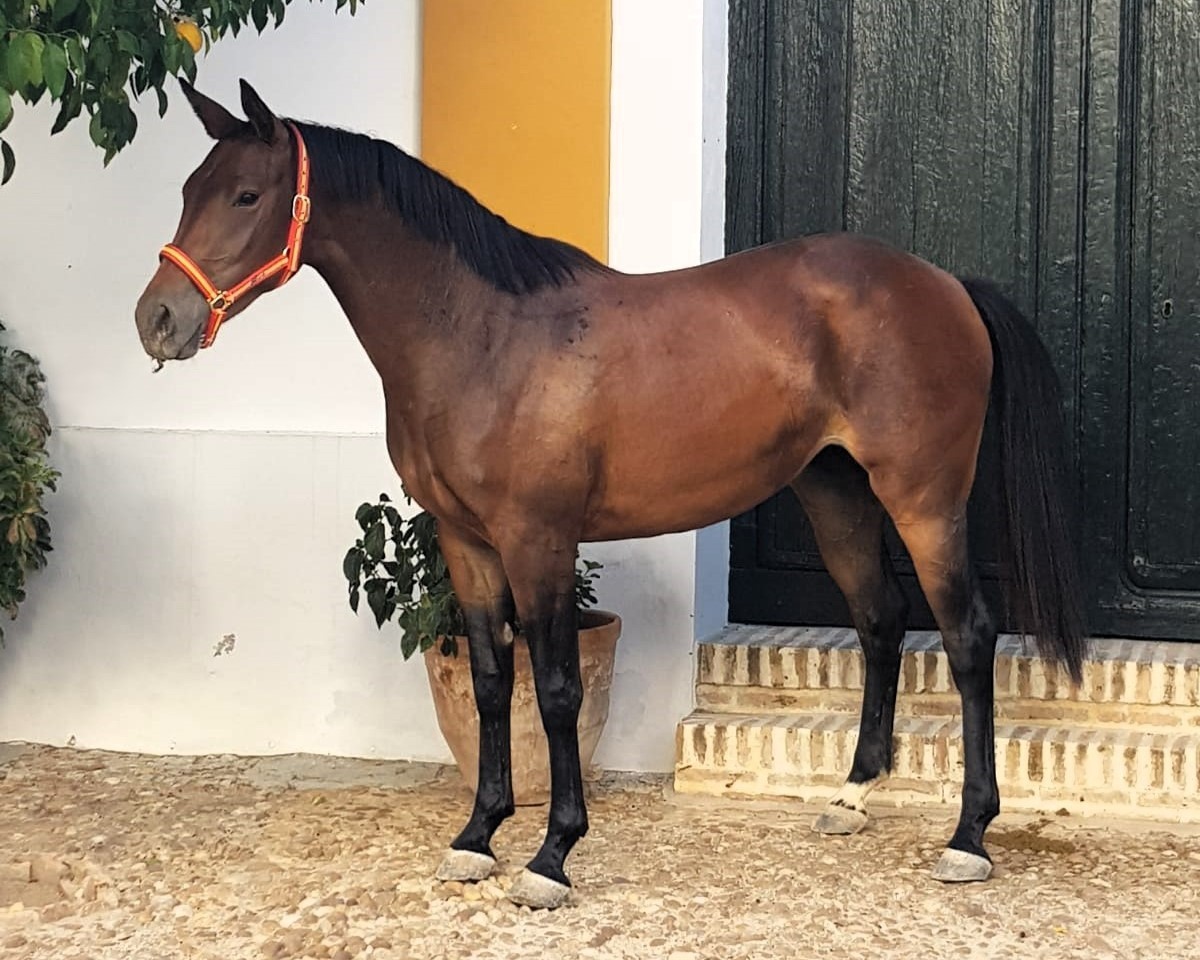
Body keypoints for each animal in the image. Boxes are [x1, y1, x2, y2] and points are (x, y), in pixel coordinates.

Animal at [134, 80, 1085, 909]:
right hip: (835, 494)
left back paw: (968, 838)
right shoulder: (465, 543)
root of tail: (947, 284)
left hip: (923, 499)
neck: (478, 334)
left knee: (967, 638)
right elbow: (491, 683)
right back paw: (851, 798)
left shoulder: (539, 540)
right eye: (187, 190)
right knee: (882, 621)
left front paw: (551, 854)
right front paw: (477, 836)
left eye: (247, 195)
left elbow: (556, 691)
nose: (158, 320)